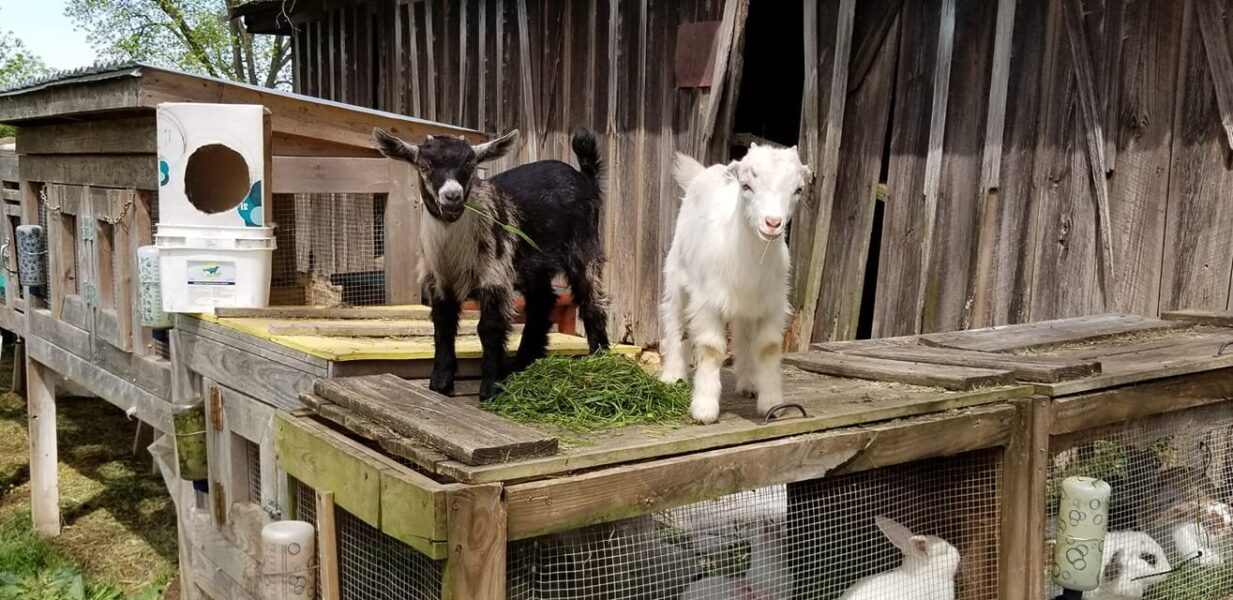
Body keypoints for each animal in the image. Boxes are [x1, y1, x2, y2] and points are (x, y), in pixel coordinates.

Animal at [373, 127, 611, 400]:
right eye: (424, 166)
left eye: (470, 165)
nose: (452, 196)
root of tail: (585, 178)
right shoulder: (439, 282)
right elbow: (443, 326)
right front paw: (440, 383)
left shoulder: (494, 276)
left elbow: (489, 328)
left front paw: (491, 388)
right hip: (536, 265)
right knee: (542, 301)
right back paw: (522, 362)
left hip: (584, 245)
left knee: (592, 299)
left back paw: (600, 359)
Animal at [659, 144, 810, 424]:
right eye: (746, 185)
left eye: (798, 189)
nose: (772, 223)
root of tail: (704, 172)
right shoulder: (707, 302)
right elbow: (711, 348)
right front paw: (704, 409)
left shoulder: (773, 304)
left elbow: (767, 347)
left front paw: (772, 403)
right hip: (676, 274)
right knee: (673, 318)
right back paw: (672, 375)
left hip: (746, 307)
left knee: (743, 335)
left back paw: (749, 383)